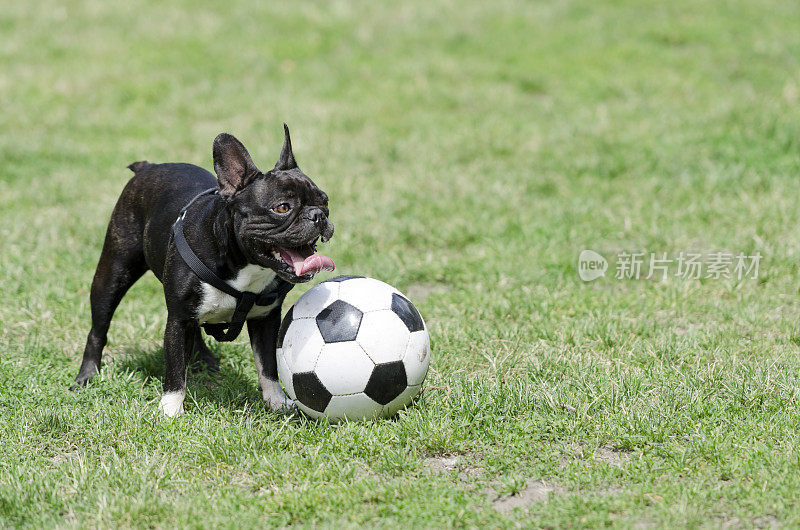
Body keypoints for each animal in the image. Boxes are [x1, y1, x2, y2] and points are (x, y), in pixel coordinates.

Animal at [69, 126, 332, 414]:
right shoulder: (177, 320)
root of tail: (148, 167)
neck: (244, 267)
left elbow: (267, 364)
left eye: (325, 201)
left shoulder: (266, 319)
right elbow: (174, 369)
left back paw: (203, 360)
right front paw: (171, 411)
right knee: (98, 329)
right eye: (282, 207)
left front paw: (276, 401)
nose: (318, 215)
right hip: (113, 273)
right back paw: (87, 376)